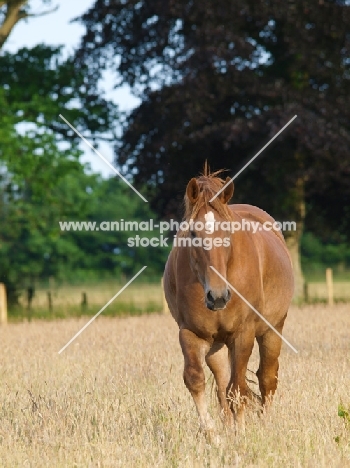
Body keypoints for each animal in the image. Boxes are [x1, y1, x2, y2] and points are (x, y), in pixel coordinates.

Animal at [163, 169, 294, 436]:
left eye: (228, 233)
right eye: (193, 234)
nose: (218, 296)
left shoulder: (243, 334)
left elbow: (239, 390)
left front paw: (241, 434)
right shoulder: (190, 333)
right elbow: (197, 380)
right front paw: (213, 435)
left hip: (271, 330)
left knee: (266, 378)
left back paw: (264, 425)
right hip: (216, 346)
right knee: (223, 385)